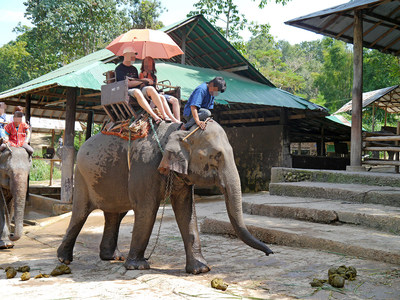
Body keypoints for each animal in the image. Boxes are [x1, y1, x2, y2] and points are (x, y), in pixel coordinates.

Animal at [57, 120, 274, 274]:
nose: (270, 253)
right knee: (80, 214)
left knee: (115, 215)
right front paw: (137, 267)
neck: (181, 129)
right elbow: (147, 210)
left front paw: (201, 270)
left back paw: (112, 257)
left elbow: (186, 211)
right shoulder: (144, 167)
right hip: (81, 176)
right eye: (216, 155)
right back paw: (63, 259)